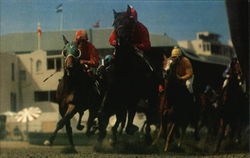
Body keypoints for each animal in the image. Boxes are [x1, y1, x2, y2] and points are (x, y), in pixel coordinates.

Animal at [96, 6, 159, 144]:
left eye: (129, 23)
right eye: (115, 23)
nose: (121, 39)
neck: (124, 67)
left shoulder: (133, 95)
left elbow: (129, 114)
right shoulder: (111, 91)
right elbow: (106, 111)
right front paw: (104, 133)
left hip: (151, 96)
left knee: (149, 114)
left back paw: (146, 135)